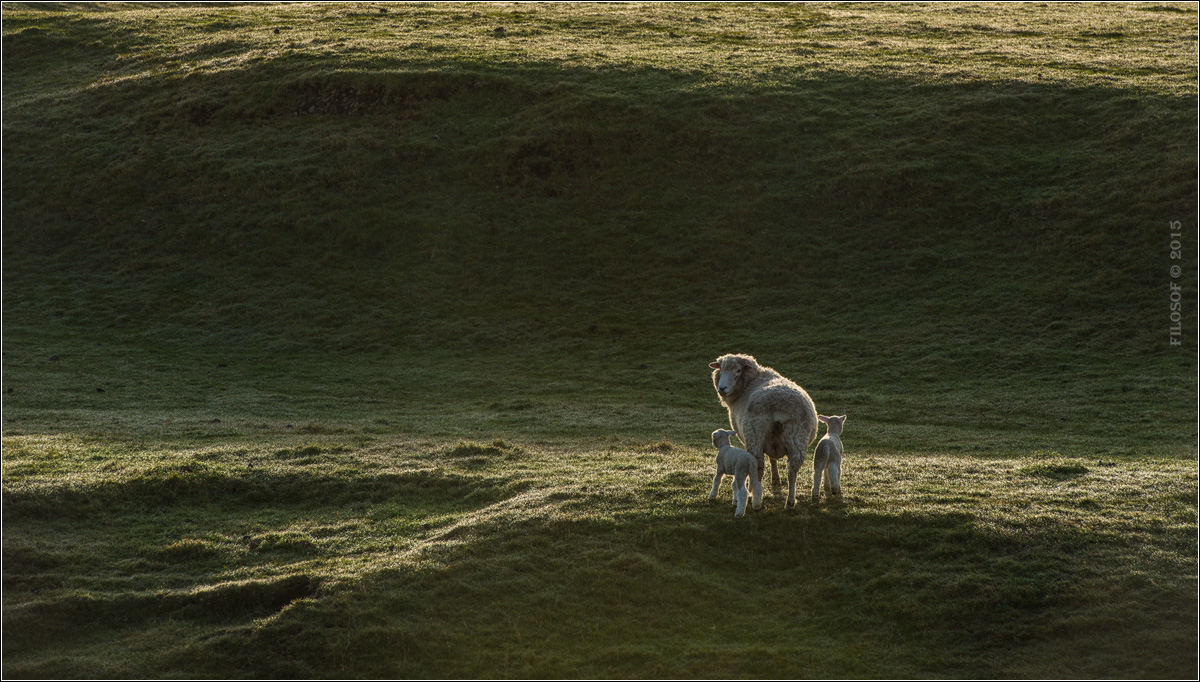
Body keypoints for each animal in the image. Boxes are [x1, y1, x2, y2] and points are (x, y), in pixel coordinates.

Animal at [705, 355, 820, 509]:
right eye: (721, 369)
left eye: (738, 370)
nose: (722, 388)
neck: (751, 381)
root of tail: (779, 407)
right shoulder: (773, 442)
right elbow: (773, 458)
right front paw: (776, 479)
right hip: (797, 439)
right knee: (793, 471)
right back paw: (790, 501)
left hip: (755, 436)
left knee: (758, 467)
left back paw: (755, 498)